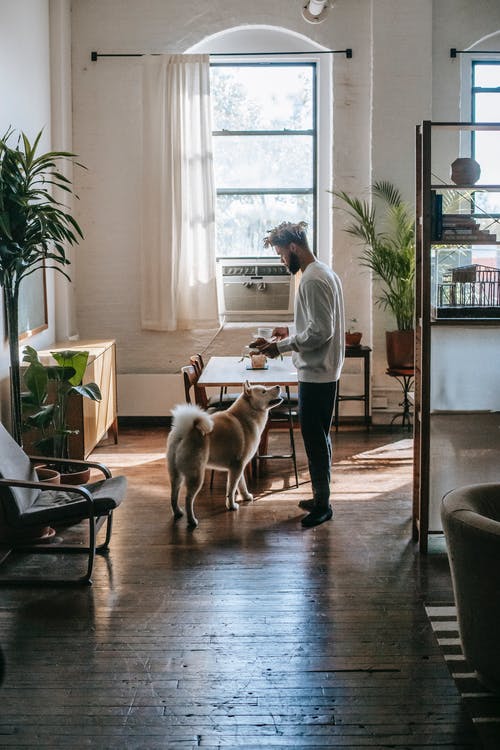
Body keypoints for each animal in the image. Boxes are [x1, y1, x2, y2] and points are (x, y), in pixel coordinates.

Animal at [167, 382, 282, 528]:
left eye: (266, 388)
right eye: (263, 392)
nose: (278, 386)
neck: (246, 417)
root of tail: (184, 432)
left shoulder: (239, 467)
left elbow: (241, 485)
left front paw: (246, 497)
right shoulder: (236, 467)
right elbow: (231, 489)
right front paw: (231, 506)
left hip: (176, 475)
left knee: (173, 495)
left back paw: (177, 513)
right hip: (196, 476)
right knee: (188, 499)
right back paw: (192, 521)